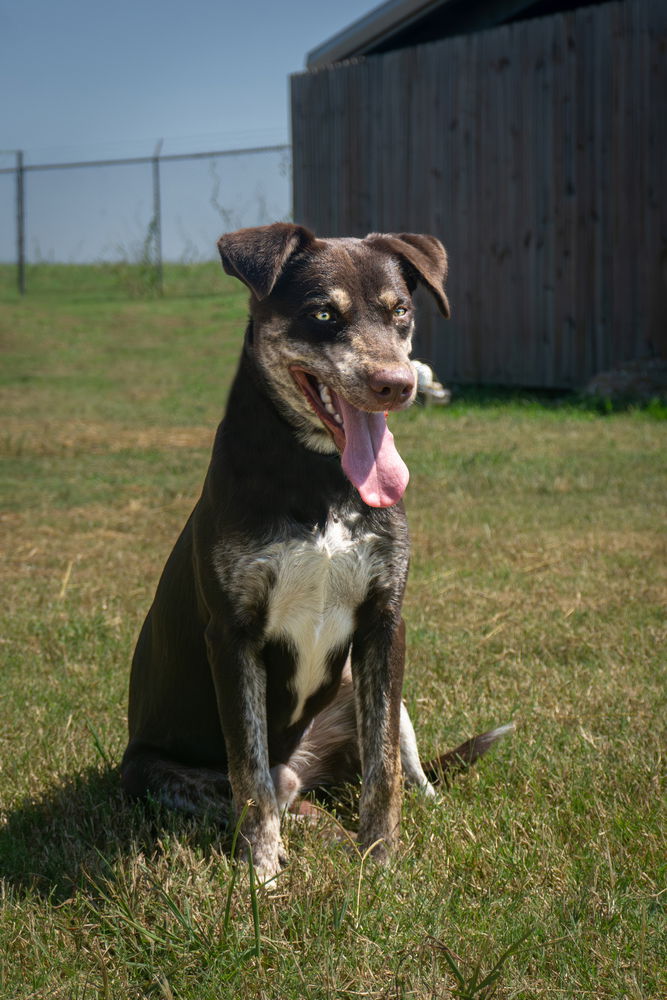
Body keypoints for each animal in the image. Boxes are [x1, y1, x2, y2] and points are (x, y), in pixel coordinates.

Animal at [121, 223, 512, 880]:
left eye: (400, 311)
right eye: (323, 313)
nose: (399, 385)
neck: (320, 474)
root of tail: (307, 769)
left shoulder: (385, 620)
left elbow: (384, 766)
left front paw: (381, 861)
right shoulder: (233, 635)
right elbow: (250, 773)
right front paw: (263, 874)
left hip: (365, 688)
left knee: (400, 759)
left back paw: (413, 809)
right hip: (151, 770)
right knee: (270, 790)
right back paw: (307, 830)